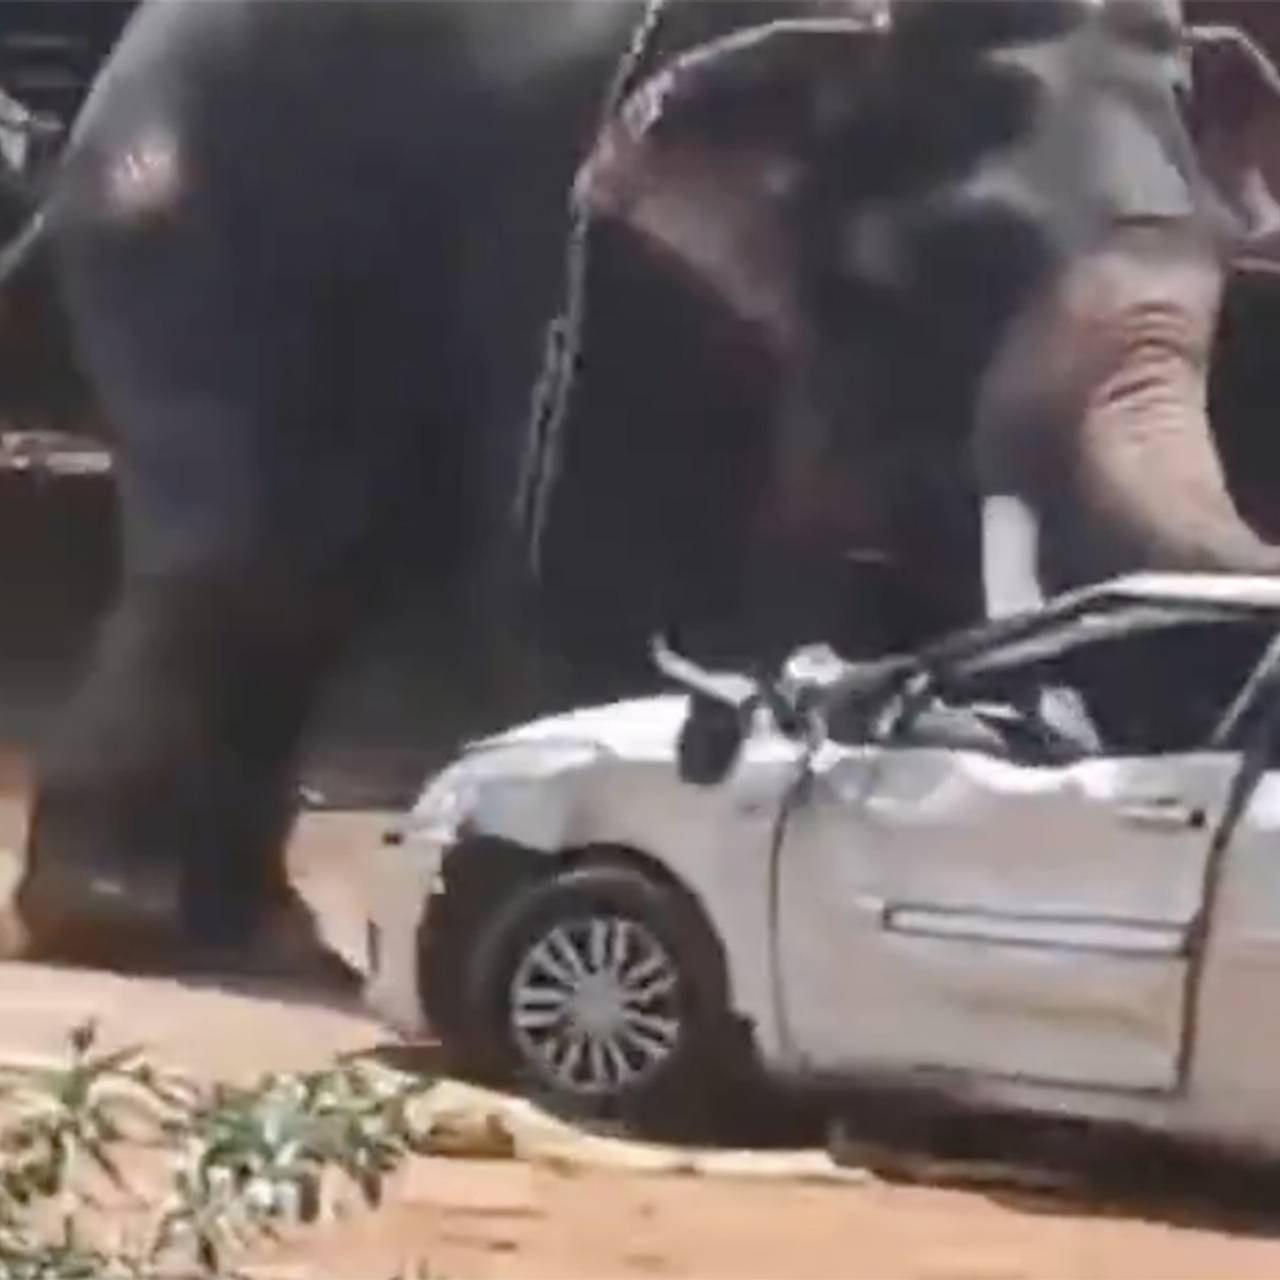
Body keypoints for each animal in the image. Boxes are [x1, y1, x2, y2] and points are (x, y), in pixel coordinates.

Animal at [7, 0, 1280, 972]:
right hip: (192, 216)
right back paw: (122, 921)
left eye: (1221, 255)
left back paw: (257, 935)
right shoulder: (609, 259)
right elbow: (622, 567)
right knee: (258, 548)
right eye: (961, 260)